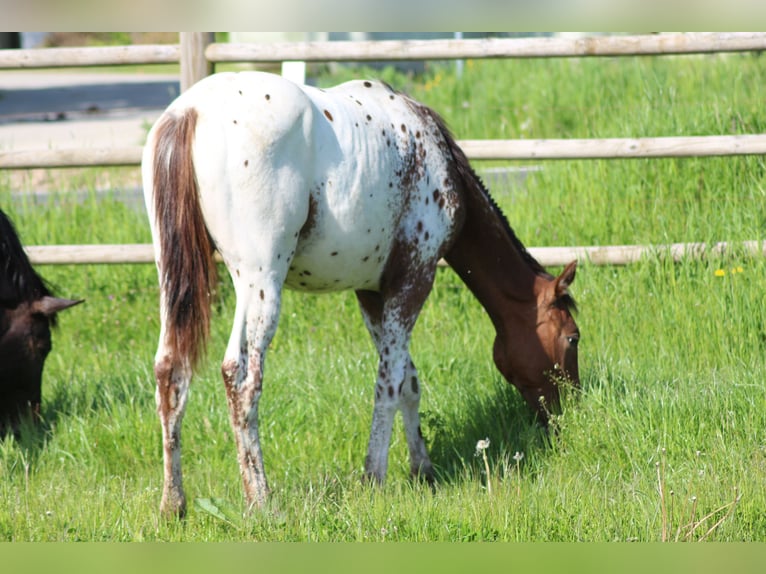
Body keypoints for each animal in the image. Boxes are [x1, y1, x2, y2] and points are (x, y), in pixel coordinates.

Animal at [142, 70, 584, 520]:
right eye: (572, 338)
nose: (568, 414)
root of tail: (190, 111)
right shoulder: (415, 279)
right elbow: (389, 384)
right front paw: (374, 477)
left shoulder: (372, 293)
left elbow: (408, 380)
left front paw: (423, 469)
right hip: (260, 280)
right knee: (241, 378)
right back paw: (261, 500)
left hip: (174, 278)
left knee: (170, 371)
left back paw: (173, 504)